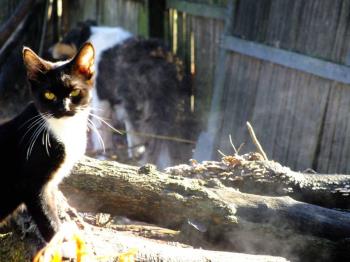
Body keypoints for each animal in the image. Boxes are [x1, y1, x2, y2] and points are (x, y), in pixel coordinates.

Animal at [0, 42, 94, 242]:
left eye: (74, 91)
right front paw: (60, 242)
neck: (64, 131)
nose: (63, 108)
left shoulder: (50, 186)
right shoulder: (32, 183)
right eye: (49, 95)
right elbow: (47, 217)